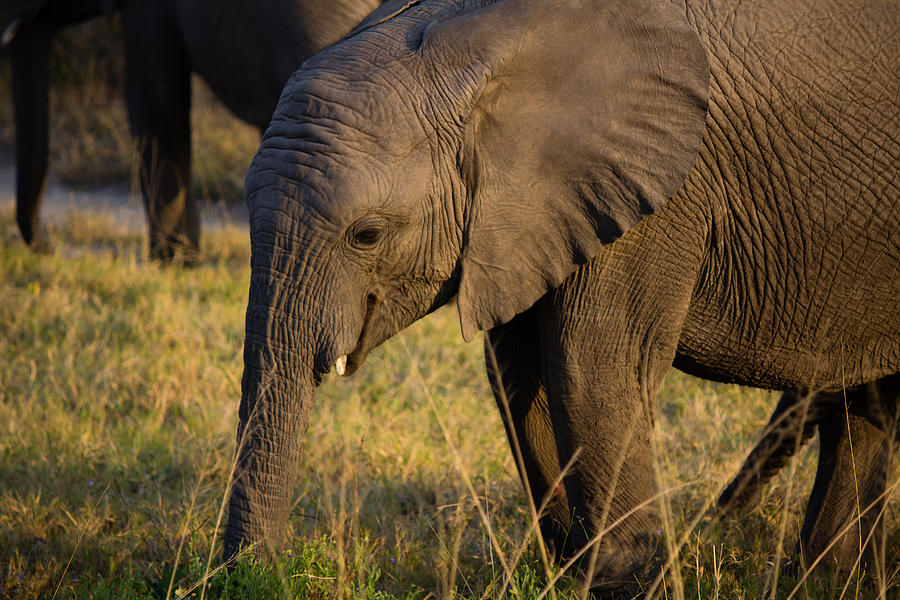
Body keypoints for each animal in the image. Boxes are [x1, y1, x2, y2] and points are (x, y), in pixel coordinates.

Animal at [223, 0, 900, 592]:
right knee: (863, 406)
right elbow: (520, 373)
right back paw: (828, 584)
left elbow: (590, 367)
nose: (260, 573)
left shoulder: (654, 192)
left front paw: (623, 584)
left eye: (366, 234)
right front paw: (571, 569)